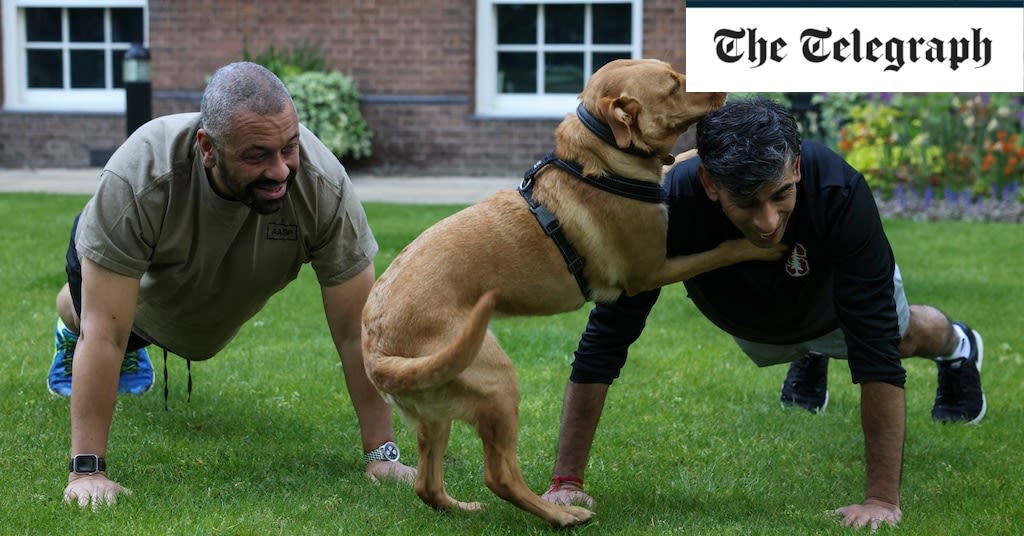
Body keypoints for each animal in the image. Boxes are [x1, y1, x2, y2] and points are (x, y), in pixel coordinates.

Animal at [362, 59, 782, 528]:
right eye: (674, 85)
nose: (725, 84)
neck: (602, 158)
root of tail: (377, 351)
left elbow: (685, 160)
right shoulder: (652, 270)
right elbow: (719, 251)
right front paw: (762, 245)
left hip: (435, 417)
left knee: (428, 485)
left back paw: (464, 508)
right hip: (496, 380)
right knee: (499, 476)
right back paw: (561, 516)